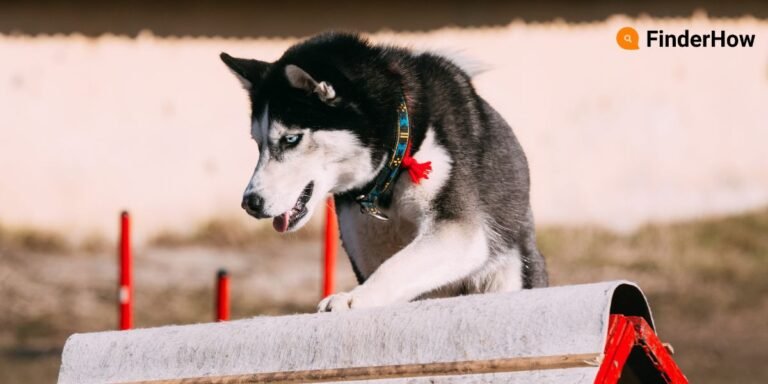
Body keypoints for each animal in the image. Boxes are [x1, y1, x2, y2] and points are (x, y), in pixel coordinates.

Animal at [219, 32, 548, 312]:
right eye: (257, 143)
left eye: (290, 139)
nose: (250, 202)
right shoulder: (364, 249)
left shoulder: (457, 231)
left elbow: (395, 267)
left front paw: (351, 299)